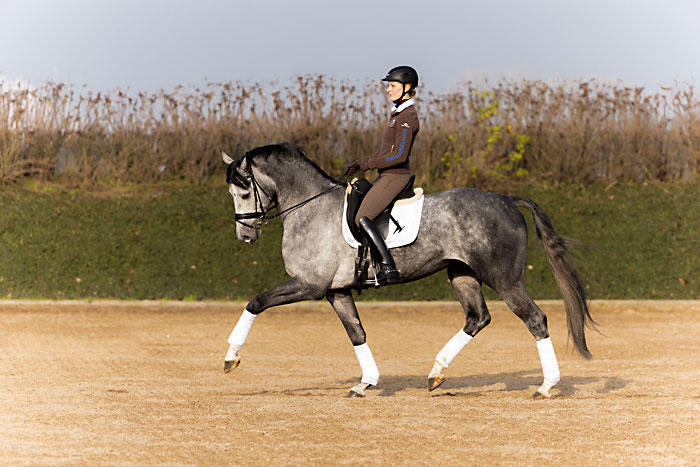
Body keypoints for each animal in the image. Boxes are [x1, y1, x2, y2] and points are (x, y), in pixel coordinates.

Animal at [221, 142, 592, 398]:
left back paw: (545, 386)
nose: (245, 236)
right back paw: (436, 373)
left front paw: (230, 357)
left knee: (535, 319)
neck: (310, 207)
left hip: (504, 278)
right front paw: (365, 383)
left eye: (244, 190)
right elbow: (357, 333)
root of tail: (506, 199)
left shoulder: (308, 285)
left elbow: (256, 302)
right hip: (462, 274)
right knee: (478, 318)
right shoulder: (335, 291)